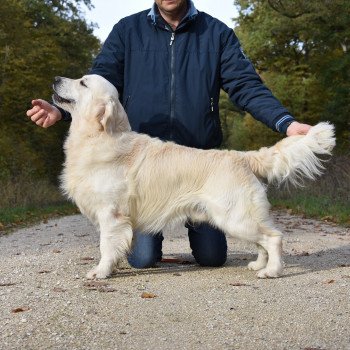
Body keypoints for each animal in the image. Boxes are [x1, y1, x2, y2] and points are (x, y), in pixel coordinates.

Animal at [52, 74, 336, 278]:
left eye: (83, 82)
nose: (55, 78)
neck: (99, 136)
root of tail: (241, 156)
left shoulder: (112, 214)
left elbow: (105, 245)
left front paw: (100, 272)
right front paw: (110, 267)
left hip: (235, 217)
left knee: (274, 238)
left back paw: (272, 271)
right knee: (262, 242)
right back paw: (258, 264)